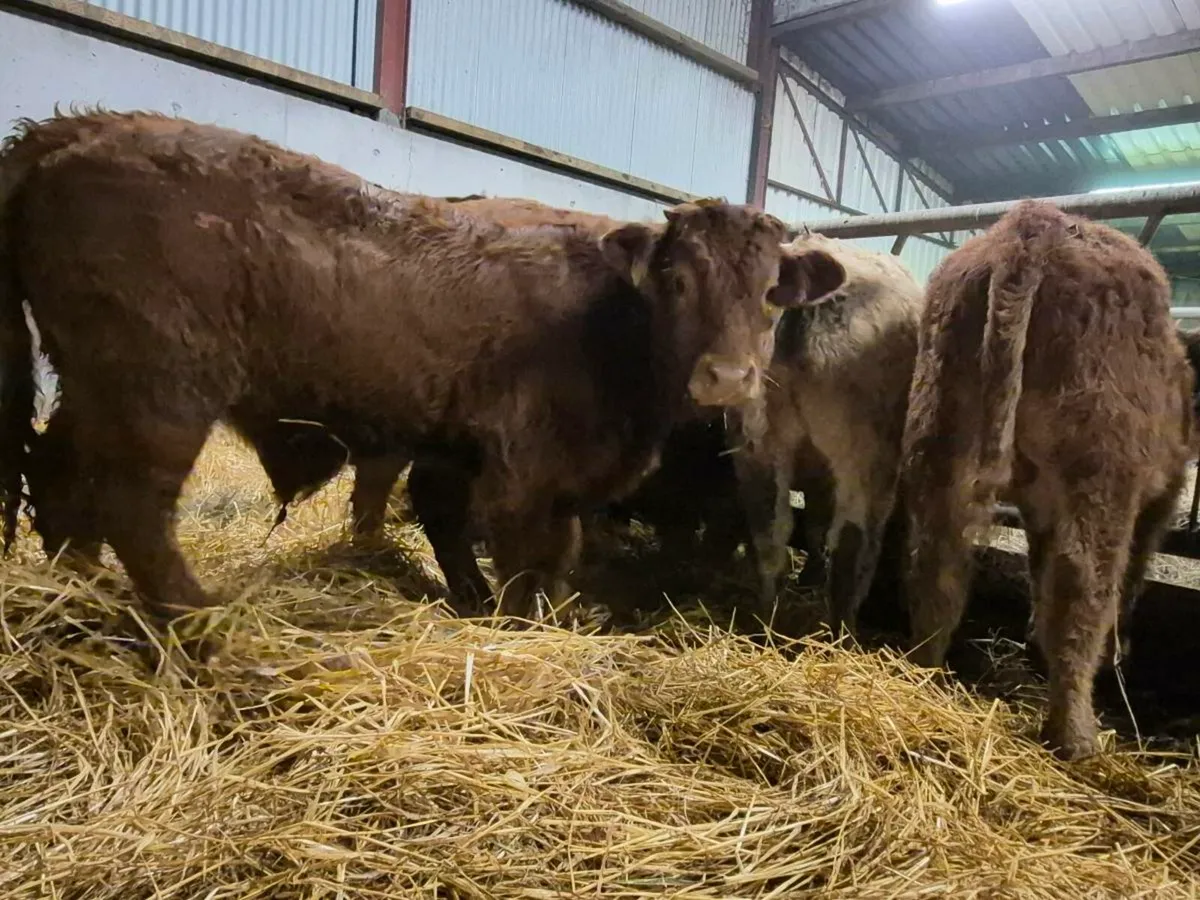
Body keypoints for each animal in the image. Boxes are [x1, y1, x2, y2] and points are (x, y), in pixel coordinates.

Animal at [0, 110, 847, 641]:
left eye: (771, 291)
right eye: (677, 279)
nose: (728, 377)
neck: (609, 310)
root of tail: (82, 128)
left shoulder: (502, 463)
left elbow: (541, 552)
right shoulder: (521, 470)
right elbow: (522, 554)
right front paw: (514, 620)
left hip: (93, 387)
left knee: (62, 476)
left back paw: (78, 589)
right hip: (160, 392)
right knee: (133, 503)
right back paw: (203, 623)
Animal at [900, 200, 1194, 761]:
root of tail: (1033, 223)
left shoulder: (1040, 506)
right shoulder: (1158, 500)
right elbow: (1128, 577)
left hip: (940, 435)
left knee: (938, 556)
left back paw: (922, 672)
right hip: (1101, 470)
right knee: (1083, 583)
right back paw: (1076, 736)